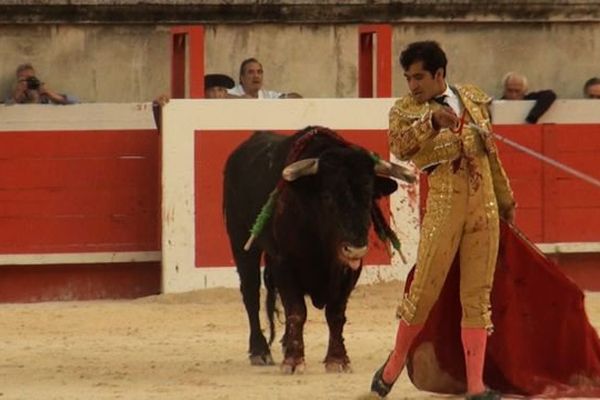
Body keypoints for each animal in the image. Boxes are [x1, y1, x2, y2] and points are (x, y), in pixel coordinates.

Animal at [223, 126, 414, 374]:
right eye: (327, 196)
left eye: (369, 195)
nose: (354, 249)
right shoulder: (284, 263)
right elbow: (296, 310)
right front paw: (293, 361)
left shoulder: (350, 270)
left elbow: (335, 314)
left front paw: (337, 359)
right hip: (241, 242)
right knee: (251, 294)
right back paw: (260, 351)